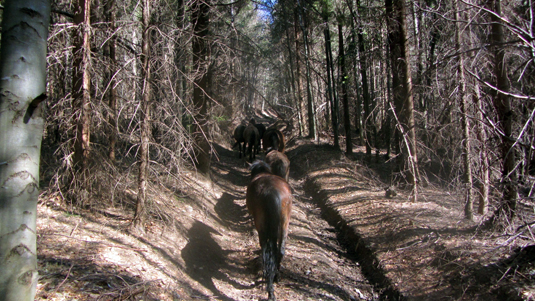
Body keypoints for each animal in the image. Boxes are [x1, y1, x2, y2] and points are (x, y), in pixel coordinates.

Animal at [247, 161, 294, 298]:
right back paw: (276, 276)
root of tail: (271, 193)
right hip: (285, 223)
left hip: (261, 225)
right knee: (280, 250)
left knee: (265, 249)